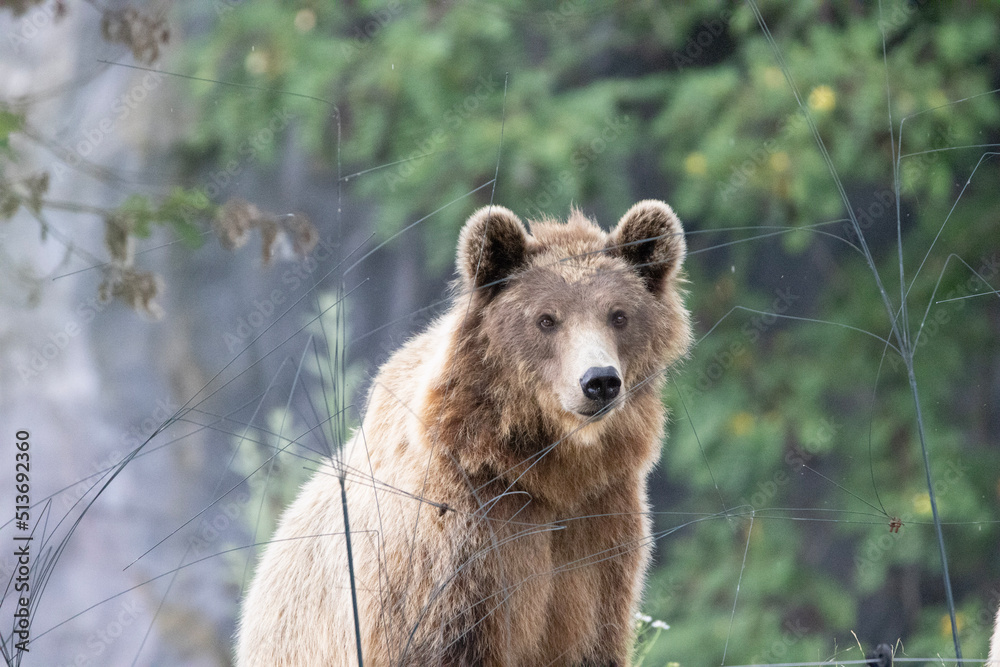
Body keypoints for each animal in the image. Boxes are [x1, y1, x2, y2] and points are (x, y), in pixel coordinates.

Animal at [235, 200, 692, 666]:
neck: (542, 469)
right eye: (546, 319)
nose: (599, 381)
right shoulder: (455, 539)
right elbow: (442, 638)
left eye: (619, 315)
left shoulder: (600, 535)